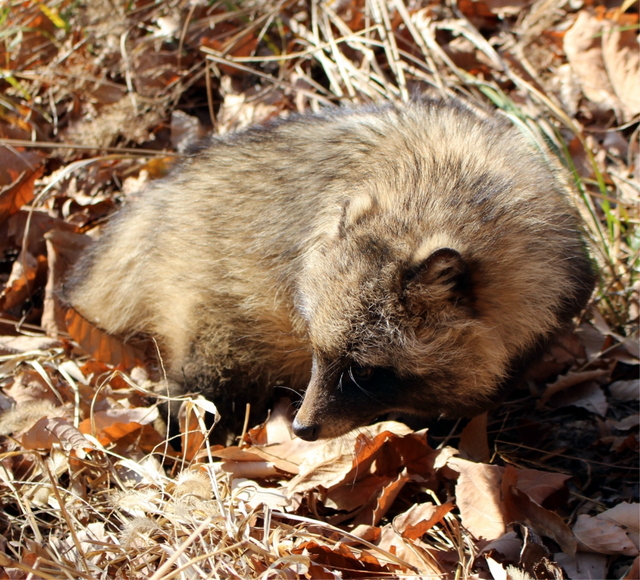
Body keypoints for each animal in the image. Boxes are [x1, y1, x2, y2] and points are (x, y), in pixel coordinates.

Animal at [65, 98, 596, 440]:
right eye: (317, 352)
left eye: (365, 370)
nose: (300, 428)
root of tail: (160, 195)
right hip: (209, 294)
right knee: (205, 377)